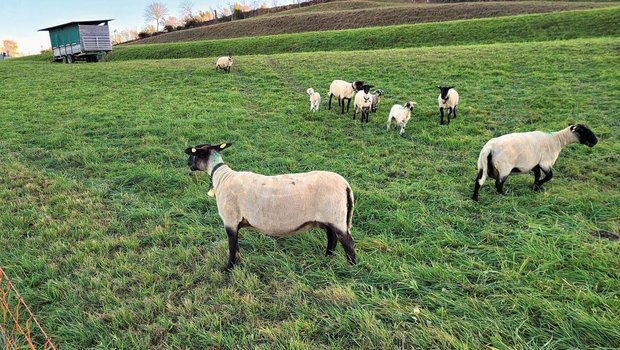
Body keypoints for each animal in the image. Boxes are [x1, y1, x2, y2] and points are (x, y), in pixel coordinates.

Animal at [184, 142, 356, 270]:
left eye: (193, 154)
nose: (187, 164)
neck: (222, 177)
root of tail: (345, 185)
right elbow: (237, 245)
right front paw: (238, 261)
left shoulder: (230, 220)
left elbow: (232, 246)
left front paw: (228, 268)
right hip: (330, 219)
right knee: (332, 239)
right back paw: (327, 259)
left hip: (336, 217)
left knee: (348, 243)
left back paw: (351, 269)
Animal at [472, 123, 600, 201]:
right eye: (582, 131)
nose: (596, 141)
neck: (558, 140)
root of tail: (489, 148)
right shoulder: (545, 162)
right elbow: (549, 176)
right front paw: (538, 185)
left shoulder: (536, 164)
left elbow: (537, 175)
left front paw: (535, 187)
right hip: (504, 167)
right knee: (498, 183)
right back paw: (503, 195)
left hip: (482, 165)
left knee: (478, 181)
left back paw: (475, 198)